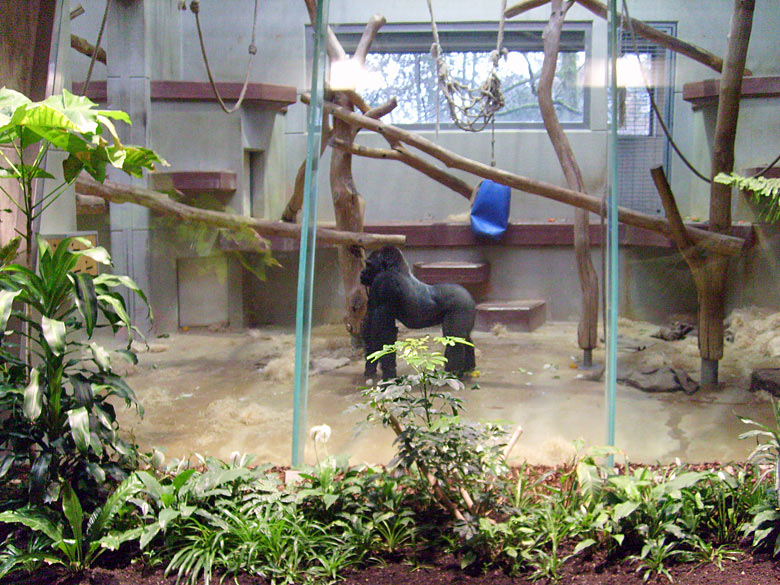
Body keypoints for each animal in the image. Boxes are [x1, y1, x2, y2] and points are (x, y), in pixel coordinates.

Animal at [360, 245, 476, 378]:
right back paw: (468, 368)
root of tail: (469, 295)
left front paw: (388, 372)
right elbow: (371, 325)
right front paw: (370, 365)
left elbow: (382, 331)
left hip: (461, 305)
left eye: (368, 264)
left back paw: (452, 372)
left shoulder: (383, 282)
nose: (362, 273)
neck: (395, 268)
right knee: (465, 336)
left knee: (453, 337)